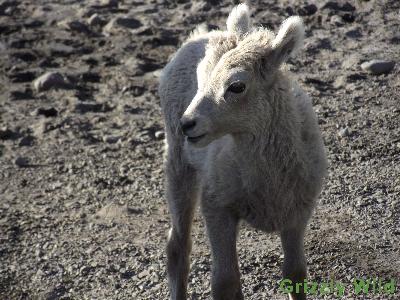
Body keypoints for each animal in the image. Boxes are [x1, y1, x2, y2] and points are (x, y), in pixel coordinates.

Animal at [158, 2, 326, 300]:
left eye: (237, 86)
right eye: (206, 77)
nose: (187, 124)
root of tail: (202, 34)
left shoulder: (297, 215)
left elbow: (295, 273)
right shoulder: (217, 207)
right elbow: (224, 281)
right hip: (179, 163)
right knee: (178, 246)